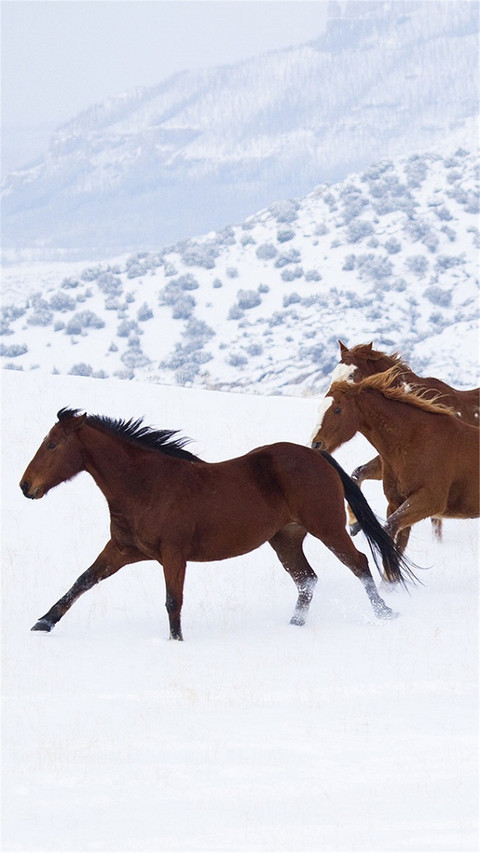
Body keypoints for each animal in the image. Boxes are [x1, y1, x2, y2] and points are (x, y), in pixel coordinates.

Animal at [19, 408, 413, 641]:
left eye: (52, 445)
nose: (26, 486)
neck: (146, 485)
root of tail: (317, 456)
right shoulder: (122, 549)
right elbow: (82, 581)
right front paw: (43, 622)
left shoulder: (173, 554)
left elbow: (172, 601)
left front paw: (175, 641)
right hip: (284, 539)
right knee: (307, 579)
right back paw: (294, 626)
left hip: (326, 527)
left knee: (358, 563)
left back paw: (385, 613)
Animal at [311, 368, 479, 560]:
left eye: (338, 409)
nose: (316, 444)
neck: (415, 441)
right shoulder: (395, 503)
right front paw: (354, 523)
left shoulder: (429, 502)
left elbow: (389, 530)